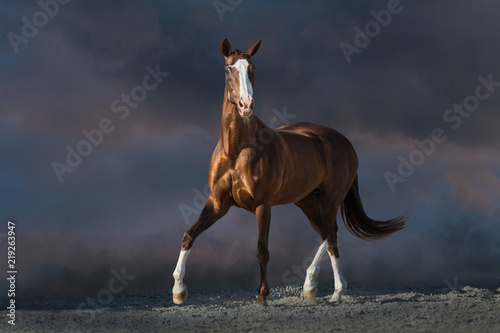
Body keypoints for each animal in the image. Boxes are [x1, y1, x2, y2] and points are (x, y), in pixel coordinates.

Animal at [172, 37, 406, 304]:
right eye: (228, 69)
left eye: (252, 69)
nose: (246, 105)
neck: (236, 151)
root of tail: (344, 142)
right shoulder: (218, 203)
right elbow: (188, 235)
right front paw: (178, 291)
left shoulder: (263, 205)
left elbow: (262, 251)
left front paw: (262, 297)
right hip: (307, 202)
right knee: (331, 236)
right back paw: (336, 291)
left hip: (330, 198)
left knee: (328, 233)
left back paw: (311, 285)